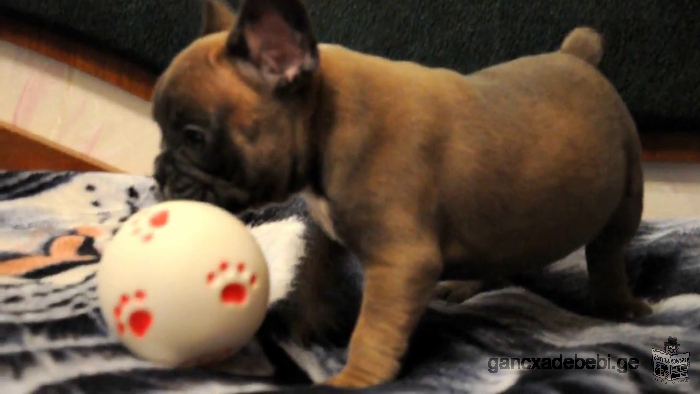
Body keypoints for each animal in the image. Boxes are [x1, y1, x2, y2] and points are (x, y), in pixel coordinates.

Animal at [150, 0, 652, 388]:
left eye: (195, 137)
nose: (159, 174)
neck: (326, 118)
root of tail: (577, 56)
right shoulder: (328, 229)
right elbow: (313, 273)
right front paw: (307, 327)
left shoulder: (401, 263)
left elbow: (373, 328)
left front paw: (358, 378)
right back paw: (467, 285)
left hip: (626, 196)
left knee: (607, 255)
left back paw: (619, 304)